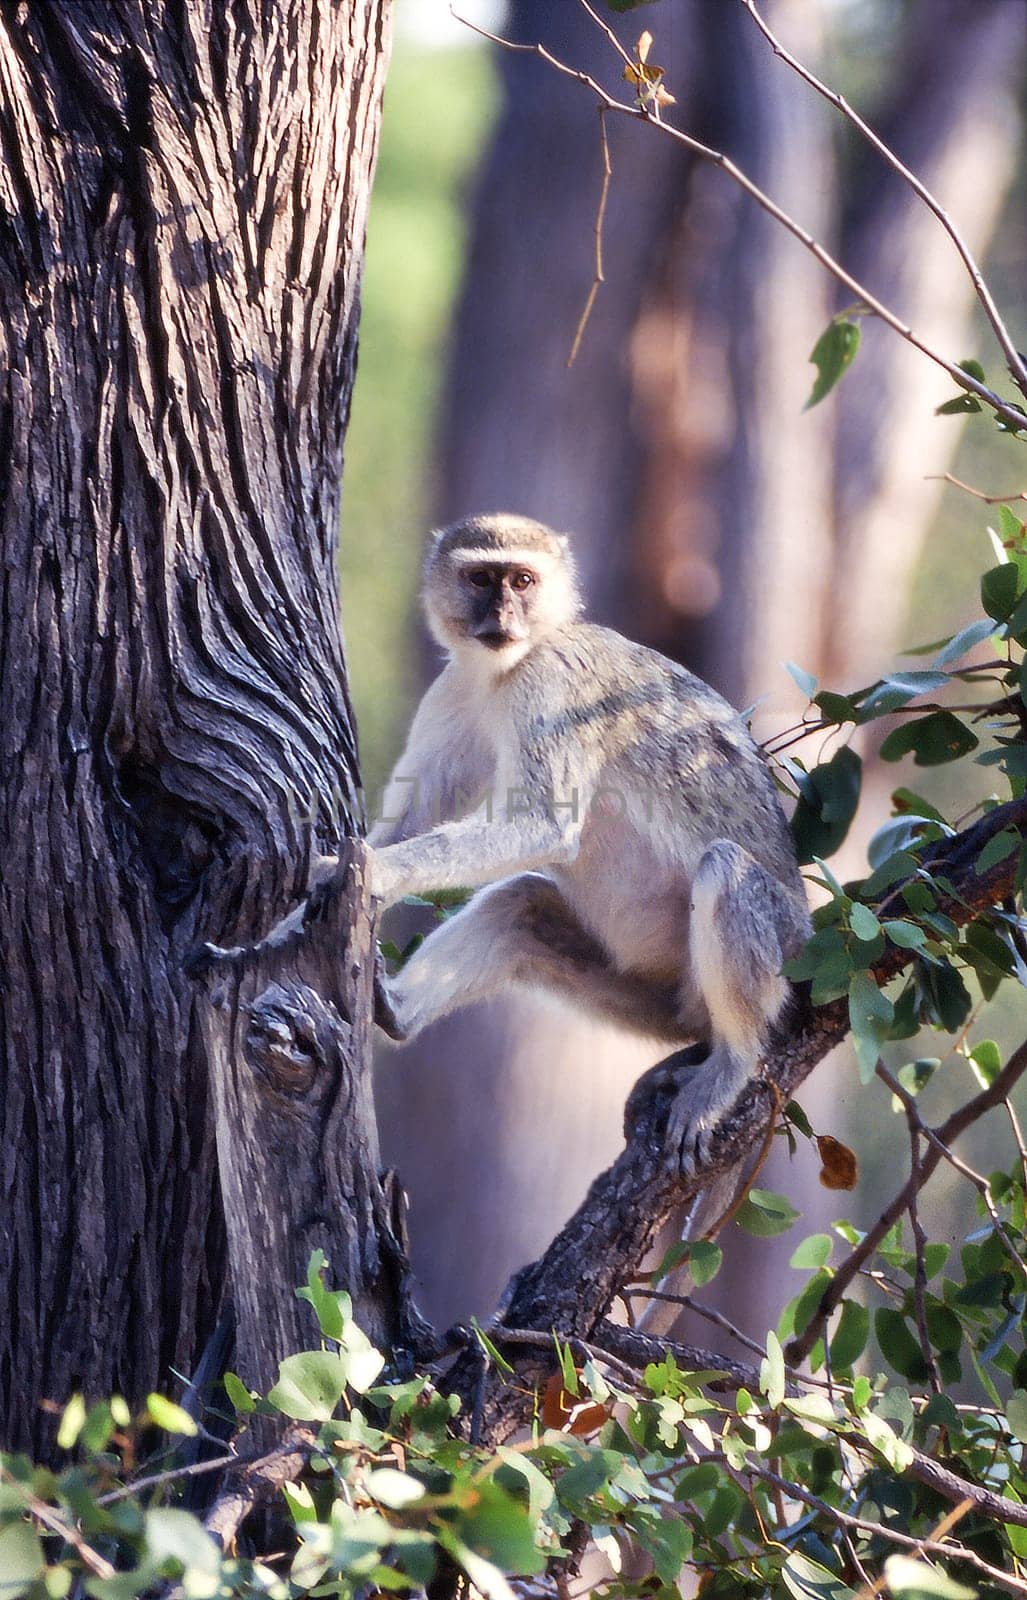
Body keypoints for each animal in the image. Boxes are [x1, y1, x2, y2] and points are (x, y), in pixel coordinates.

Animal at [364, 515, 803, 1177]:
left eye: (522, 580)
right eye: (480, 578)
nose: (501, 614)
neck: (508, 667)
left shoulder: (550, 687)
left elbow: (546, 825)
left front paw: (376, 872)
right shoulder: (455, 686)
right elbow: (422, 810)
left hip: (783, 950)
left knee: (725, 867)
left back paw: (733, 1061)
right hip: (650, 1000)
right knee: (518, 905)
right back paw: (396, 1010)